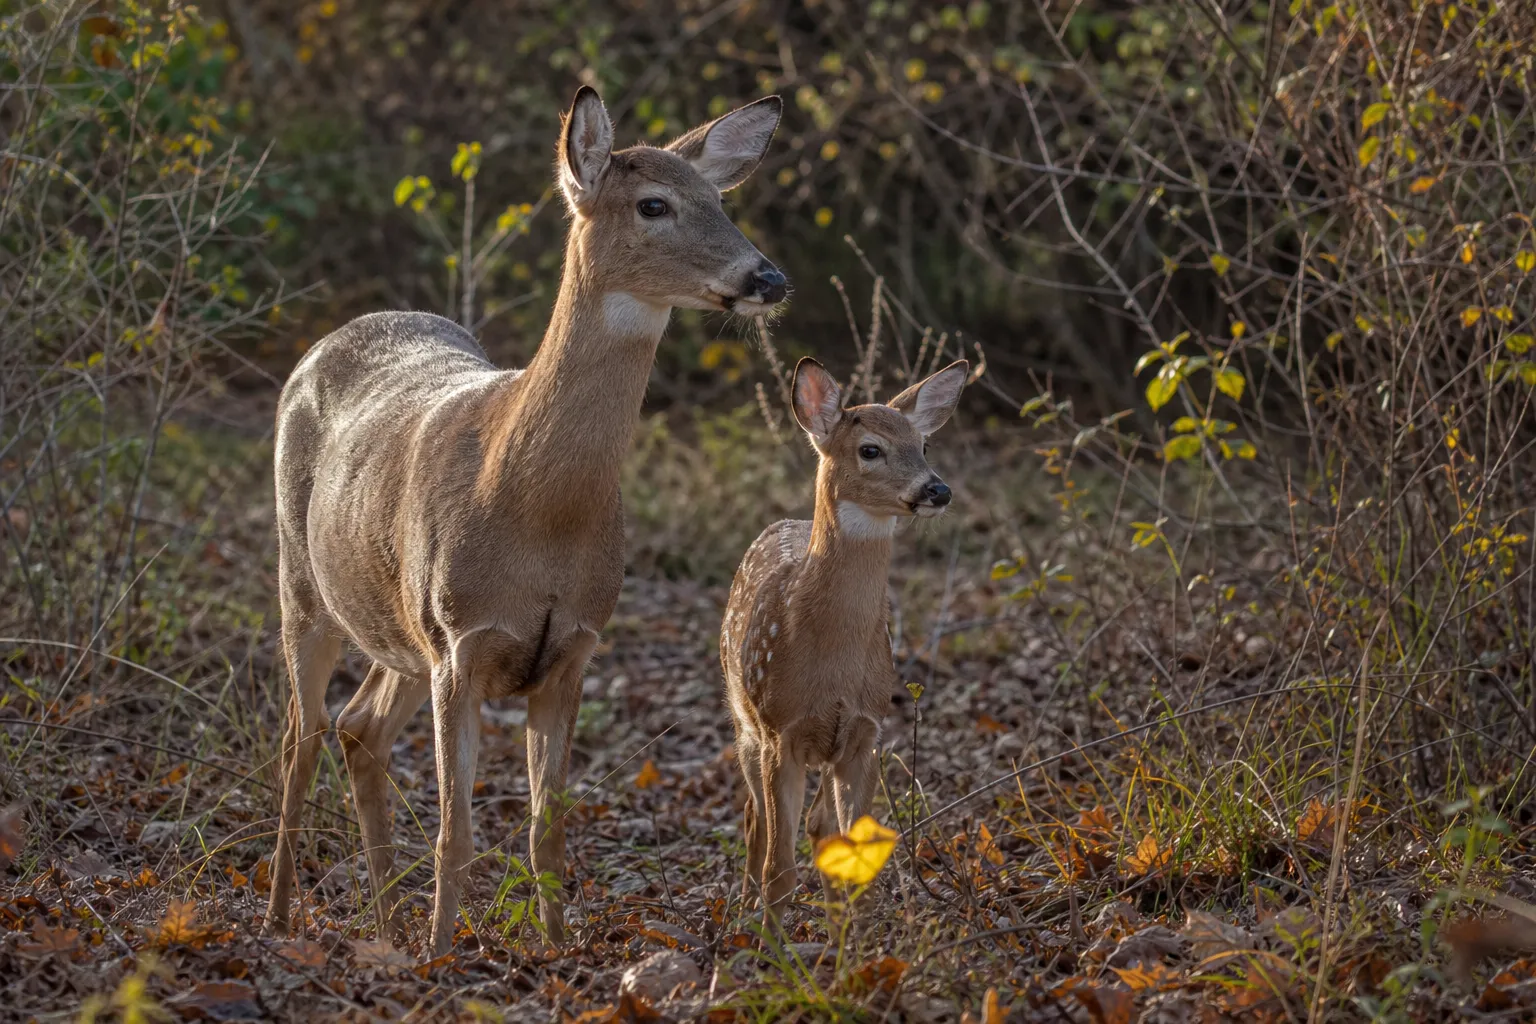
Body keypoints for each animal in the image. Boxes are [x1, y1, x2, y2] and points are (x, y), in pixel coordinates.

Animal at [265, 86, 787, 956]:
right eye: (653, 203)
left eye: (722, 201)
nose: (767, 275)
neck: (538, 512)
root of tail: (328, 339)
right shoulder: (460, 639)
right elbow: (458, 831)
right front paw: (441, 956)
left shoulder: (573, 647)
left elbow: (547, 828)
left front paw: (554, 948)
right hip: (305, 586)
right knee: (299, 736)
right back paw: (279, 917)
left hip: (398, 626)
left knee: (357, 727)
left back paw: (384, 921)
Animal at [721, 356, 968, 916]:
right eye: (870, 449)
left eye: (924, 446)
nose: (938, 490)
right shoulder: (780, 730)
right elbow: (779, 870)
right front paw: (769, 933)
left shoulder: (865, 731)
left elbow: (854, 852)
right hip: (745, 722)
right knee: (754, 818)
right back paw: (743, 910)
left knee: (817, 826)